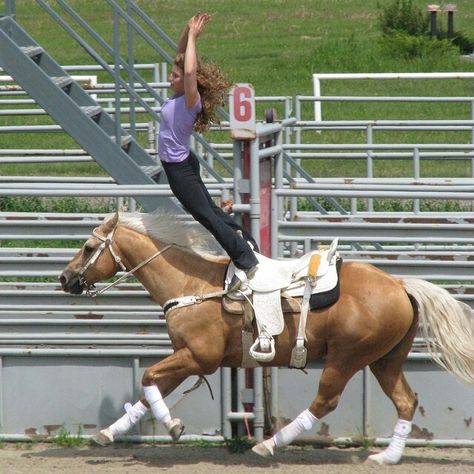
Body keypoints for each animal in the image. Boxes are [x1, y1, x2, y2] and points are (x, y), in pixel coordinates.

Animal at [60, 213, 474, 464]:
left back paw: (269, 443)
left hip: (348, 358)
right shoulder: (186, 357)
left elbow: (148, 379)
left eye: (88, 247)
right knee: (405, 400)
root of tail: (400, 285)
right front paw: (109, 433)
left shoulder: (199, 357)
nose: (65, 279)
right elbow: (149, 391)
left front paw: (173, 427)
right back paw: (387, 457)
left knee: (326, 401)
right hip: (385, 360)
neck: (192, 284)